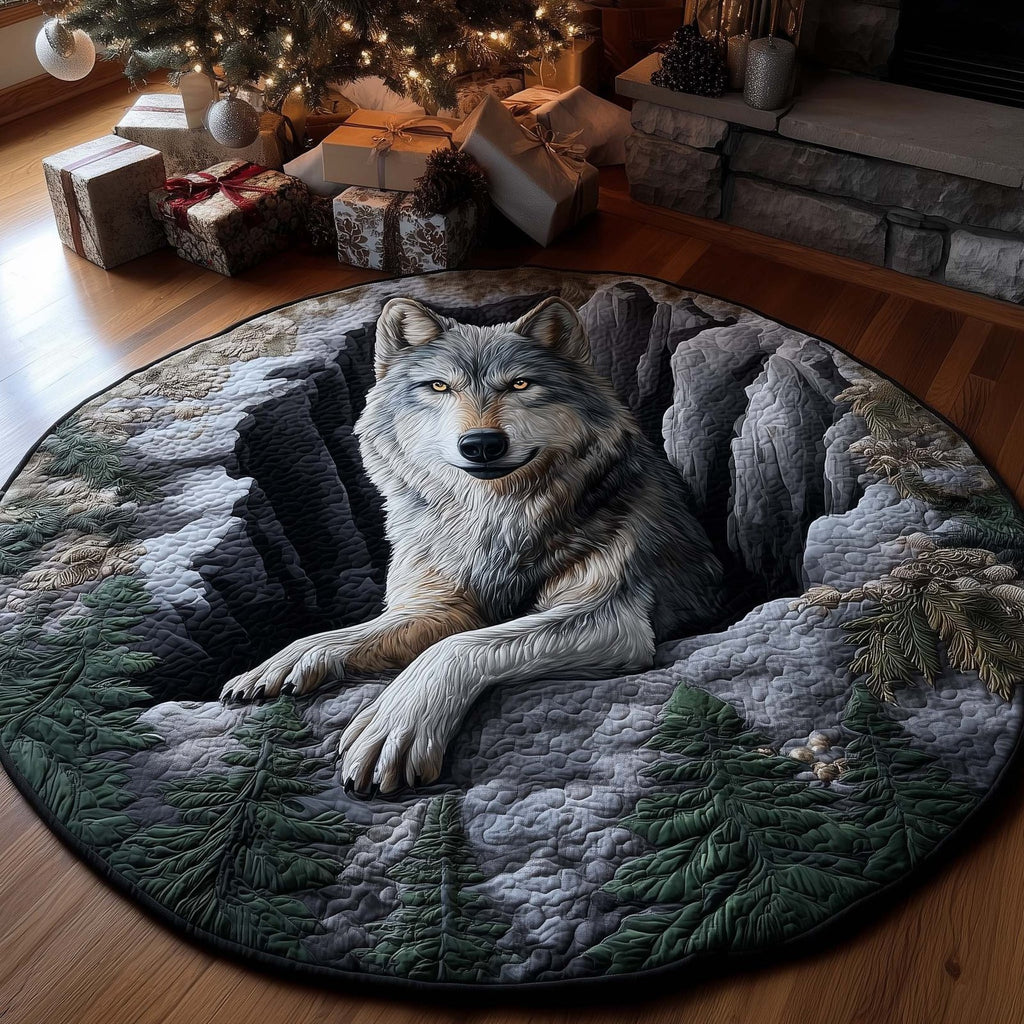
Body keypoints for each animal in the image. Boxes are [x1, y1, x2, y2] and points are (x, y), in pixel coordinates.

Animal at [222, 295, 722, 793]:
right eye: (439, 386)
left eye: (520, 384)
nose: (481, 444)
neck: (495, 521)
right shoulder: (439, 607)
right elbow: (352, 634)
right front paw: (283, 661)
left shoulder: (611, 618)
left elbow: (457, 647)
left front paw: (394, 724)